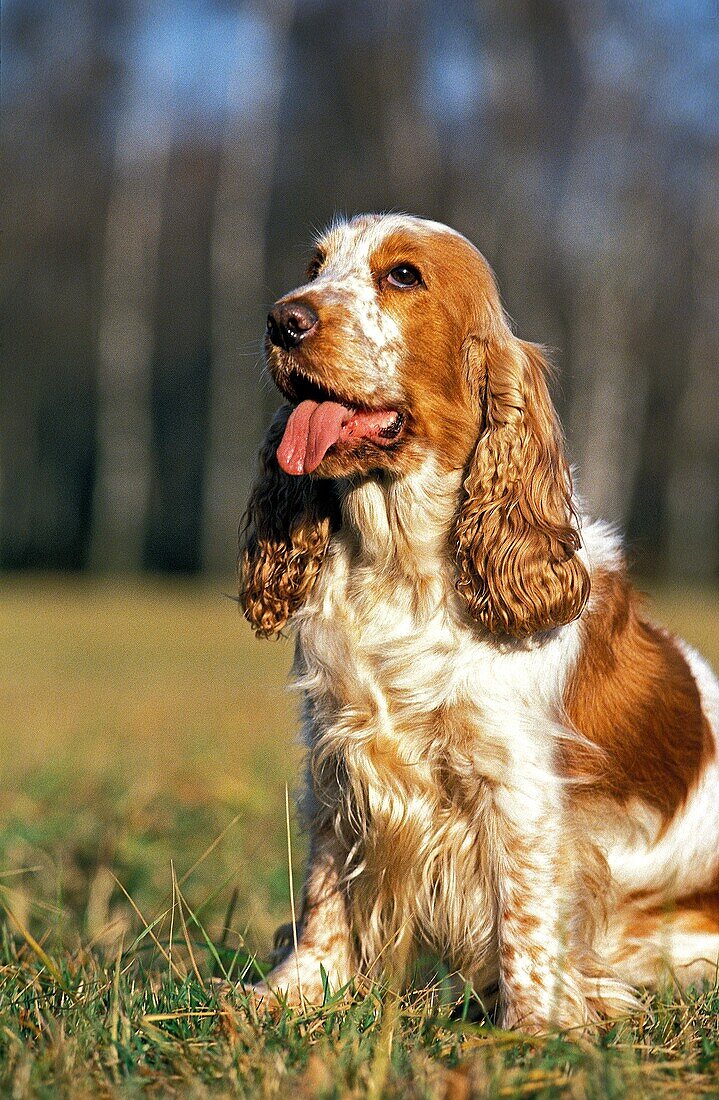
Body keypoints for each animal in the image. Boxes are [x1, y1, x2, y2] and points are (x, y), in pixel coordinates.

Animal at [240, 212, 719, 1029]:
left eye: (403, 276)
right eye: (315, 266)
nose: (282, 319)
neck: (401, 566)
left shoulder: (517, 783)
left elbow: (524, 919)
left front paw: (533, 1031)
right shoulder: (338, 756)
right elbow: (325, 891)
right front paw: (297, 991)